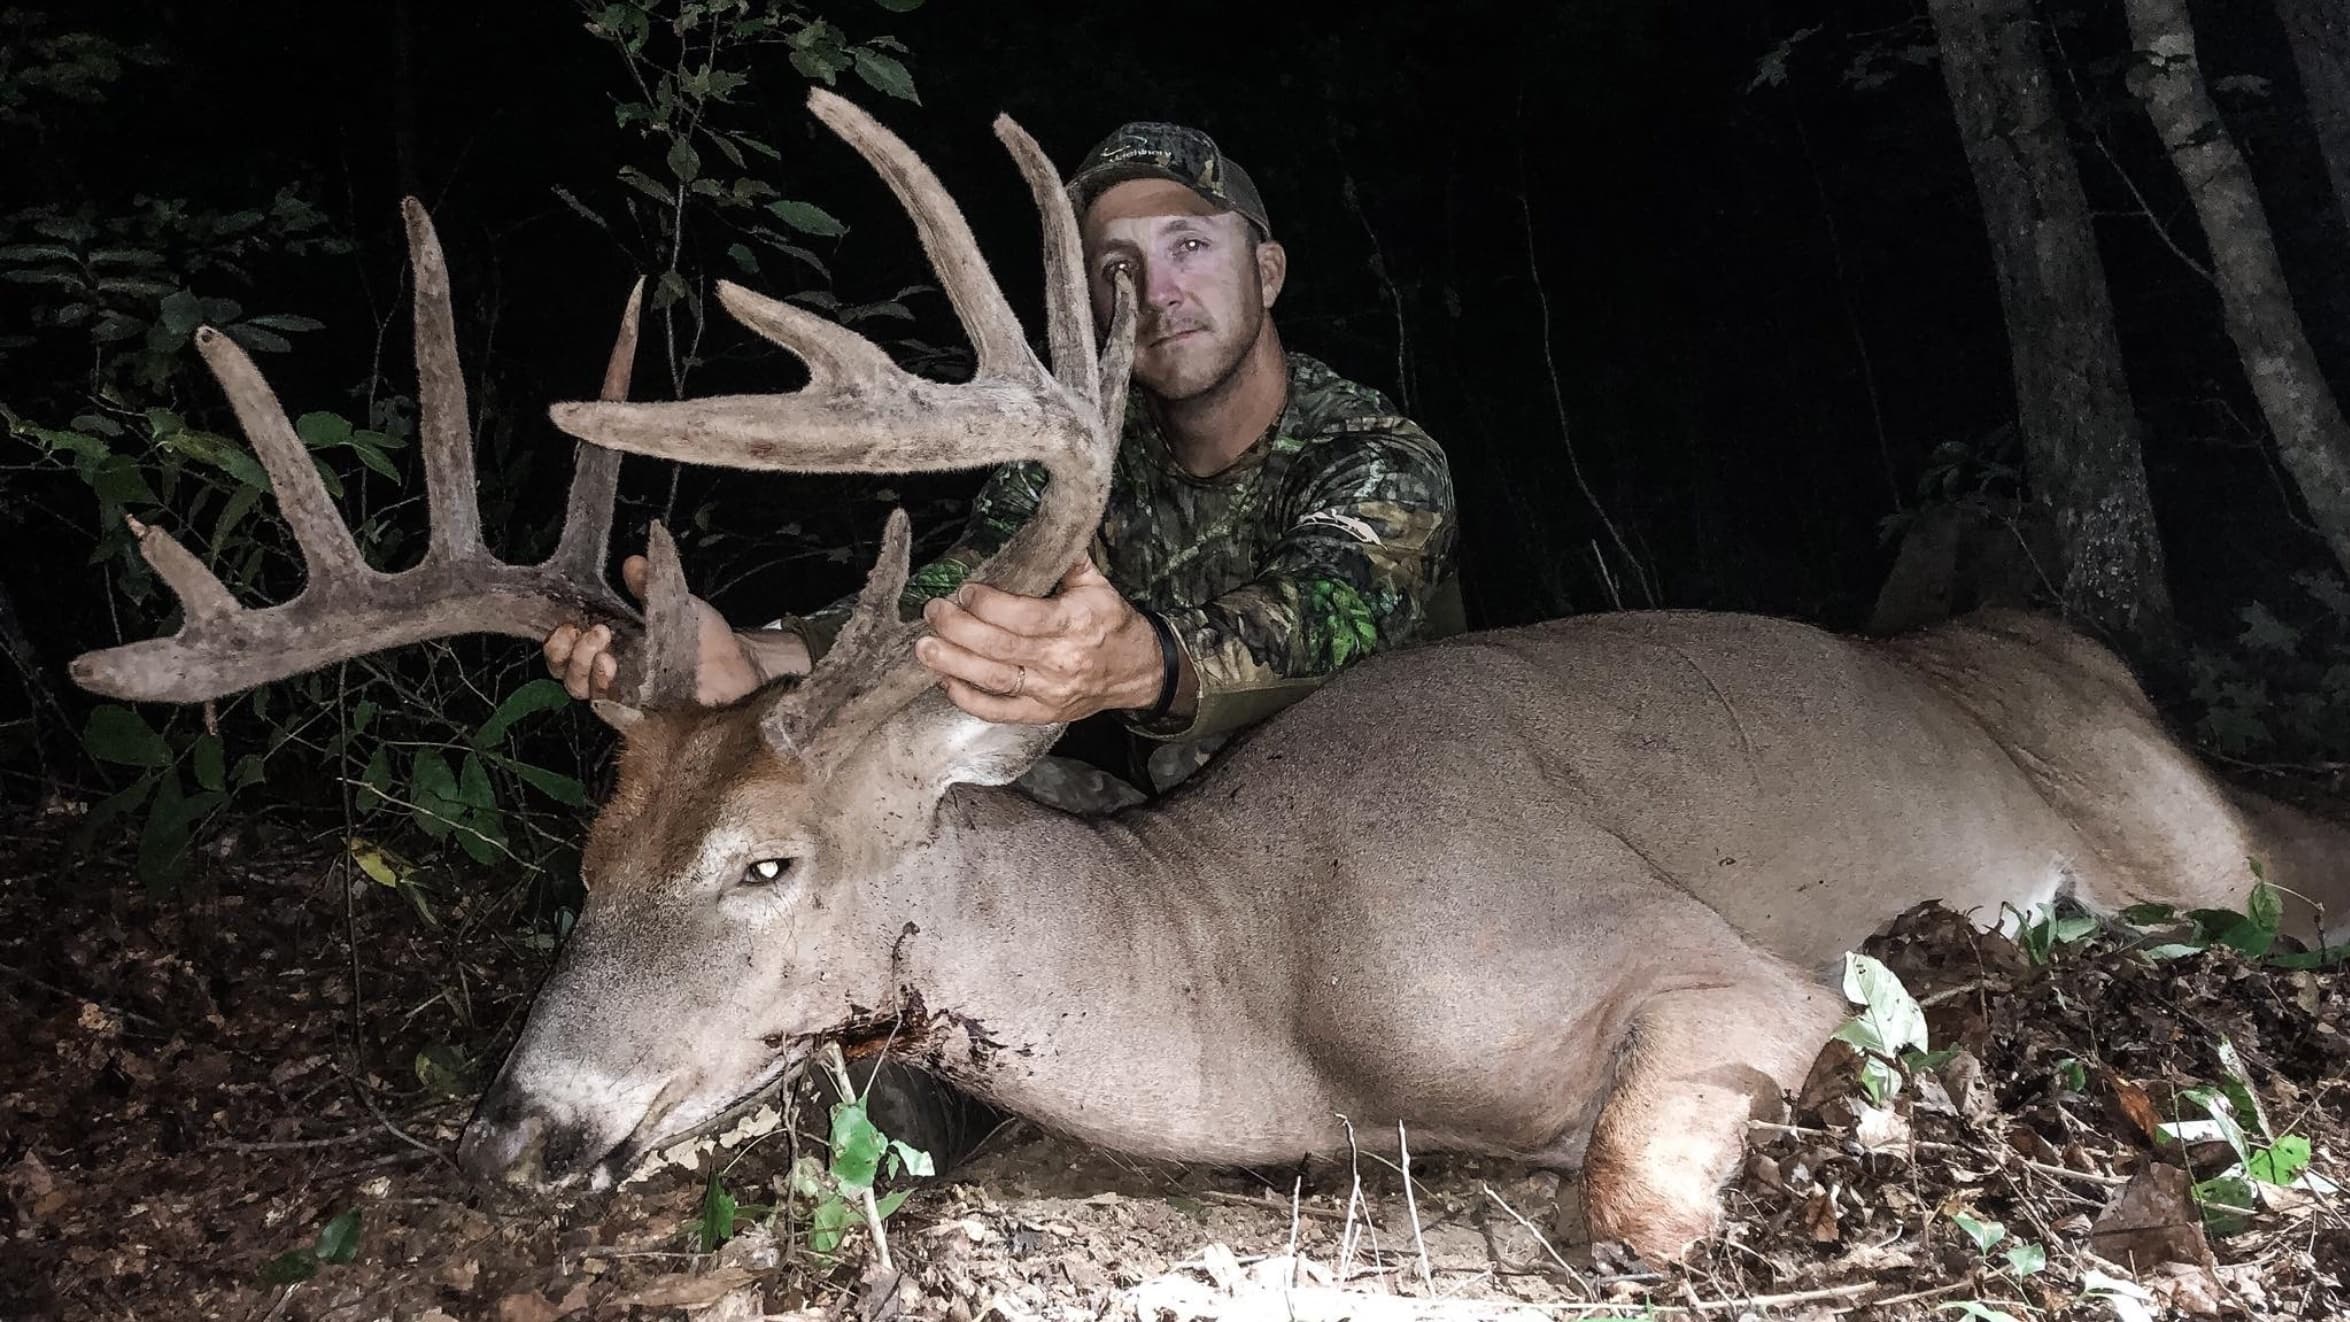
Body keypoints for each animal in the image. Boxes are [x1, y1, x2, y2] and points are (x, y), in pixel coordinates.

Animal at [70, 90, 2350, 1264]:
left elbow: (1626, 1197)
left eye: (767, 866)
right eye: (586, 855)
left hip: (2186, 835)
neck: (1260, 969)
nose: (525, 1132)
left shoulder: (1718, 964)